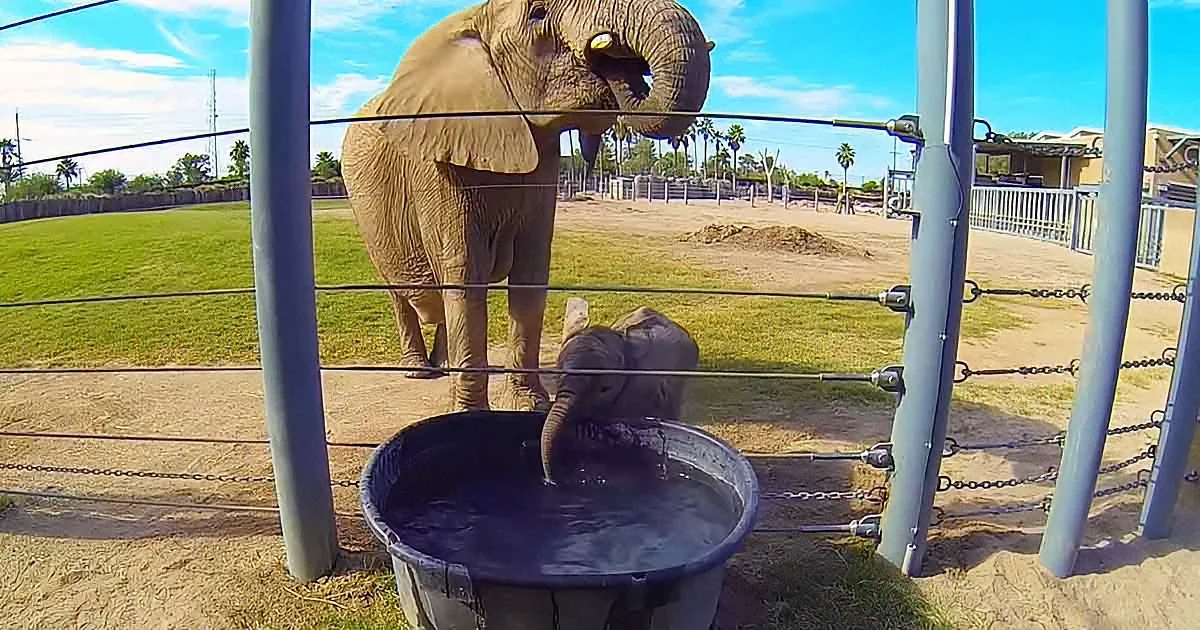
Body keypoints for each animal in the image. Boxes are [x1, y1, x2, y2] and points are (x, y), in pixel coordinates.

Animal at [340, 0, 713, 412]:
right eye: (537, 13)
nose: (619, 67)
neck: (472, 17)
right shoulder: (436, 162)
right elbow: (465, 273)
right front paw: (470, 414)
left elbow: (532, 270)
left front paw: (530, 405)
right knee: (402, 293)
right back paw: (419, 372)